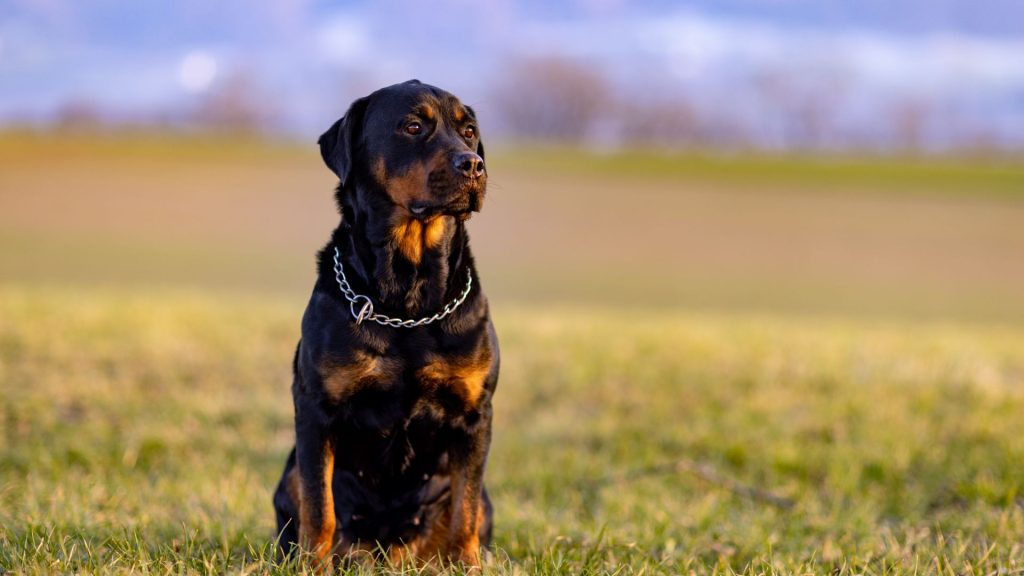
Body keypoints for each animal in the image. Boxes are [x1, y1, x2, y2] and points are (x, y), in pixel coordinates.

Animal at [270, 79, 497, 565]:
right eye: (412, 127)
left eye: (469, 131)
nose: (473, 164)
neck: (409, 300)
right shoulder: (316, 409)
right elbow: (319, 508)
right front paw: (312, 567)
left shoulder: (474, 414)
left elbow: (465, 513)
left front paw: (468, 565)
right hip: (289, 474)